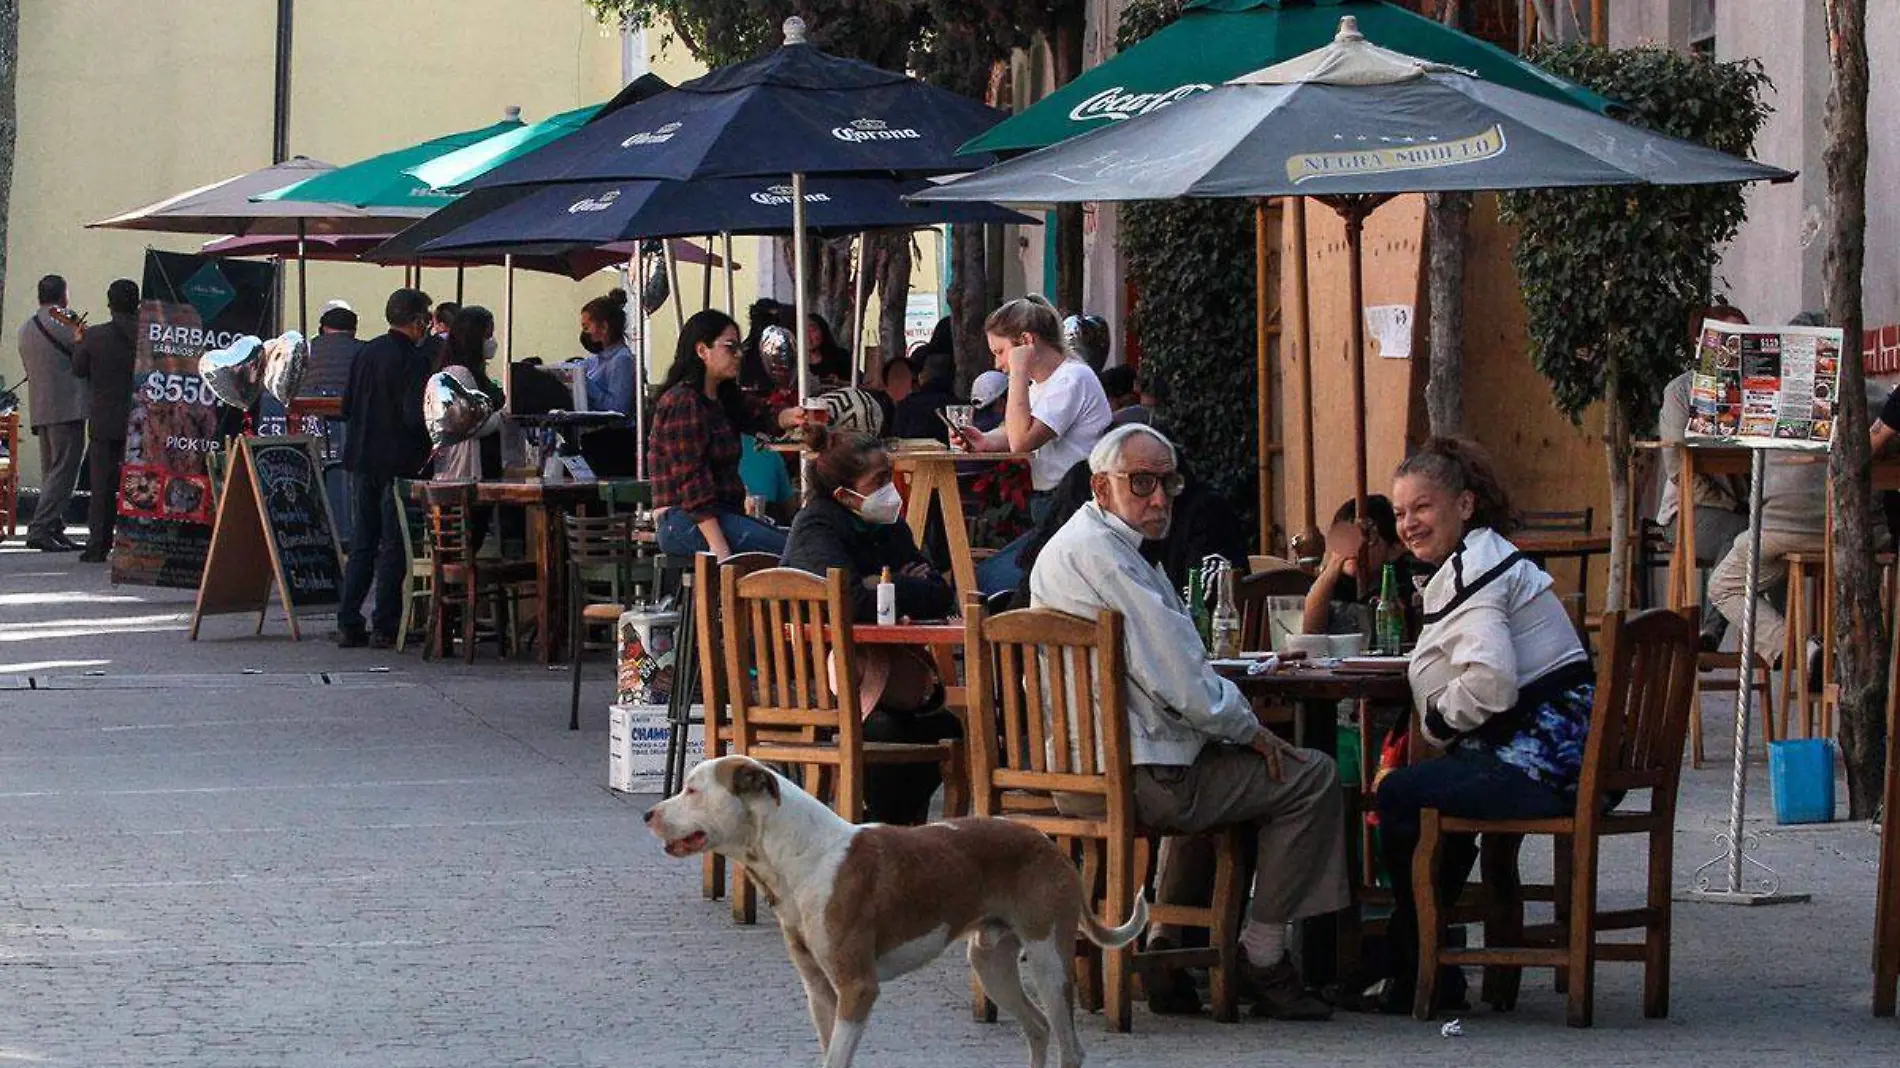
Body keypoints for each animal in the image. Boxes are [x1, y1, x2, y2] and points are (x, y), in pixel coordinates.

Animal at [646, 752, 1140, 1056]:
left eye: (692, 790)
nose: (648, 814)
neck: (801, 856)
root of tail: (1046, 840)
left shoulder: (857, 989)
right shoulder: (820, 992)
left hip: (1048, 961)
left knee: (1069, 1046)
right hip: (991, 962)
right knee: (1037, 1028)